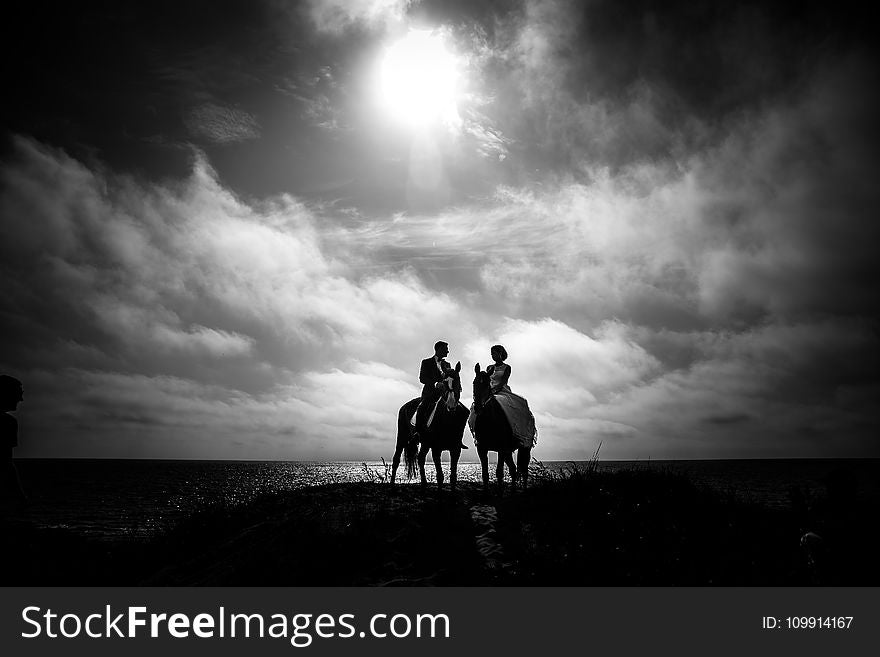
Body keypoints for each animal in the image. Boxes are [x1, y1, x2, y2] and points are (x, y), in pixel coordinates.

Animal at [470, 364, 532, 492]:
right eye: (474, 383)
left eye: (487, 384)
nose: (478, 407)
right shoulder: (482, 449)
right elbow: (485, 474)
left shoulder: (501, 449)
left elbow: (499, 473)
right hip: (508, 452)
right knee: (513, 470)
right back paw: (513, 491)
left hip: (525, 448)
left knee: (524, 472)